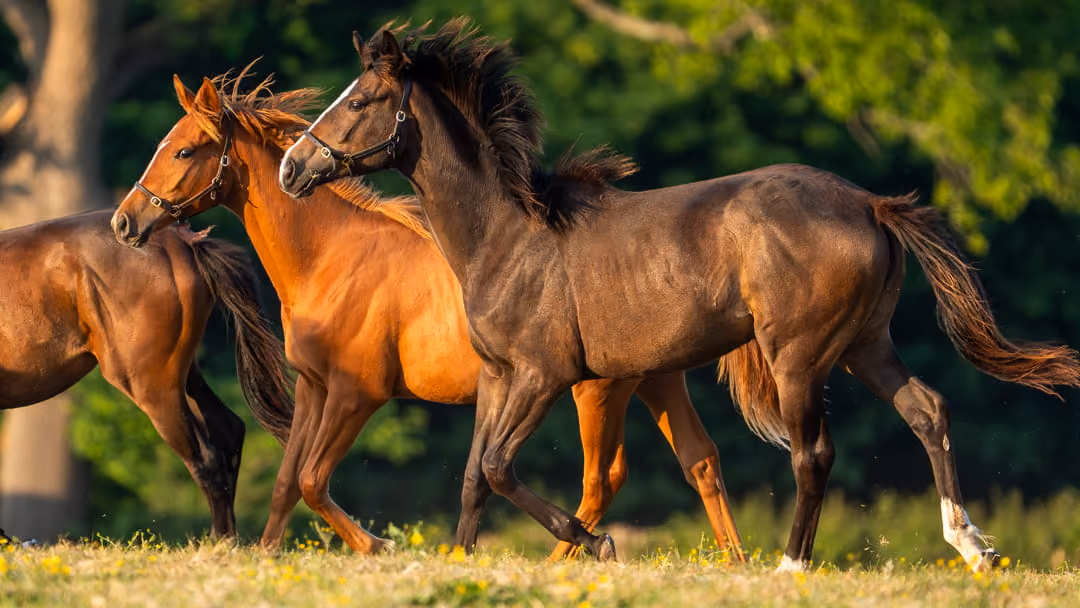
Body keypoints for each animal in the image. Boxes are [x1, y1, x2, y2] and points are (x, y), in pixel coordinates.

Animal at [0, 209, 293, 541]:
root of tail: (182, 242)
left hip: (151, 386)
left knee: (207, 461)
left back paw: (219, 542)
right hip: (184, 376)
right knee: (228, 429)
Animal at [109, 71, 746, 560]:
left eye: (184, 150)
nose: (125, 221)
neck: (332, 257)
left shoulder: (357, 393)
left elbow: (314, 481)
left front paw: (379, 547)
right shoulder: (315, 387)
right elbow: (288, 484)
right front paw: (266, 558)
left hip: (597, 390)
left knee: (602, 480)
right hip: (654, 380)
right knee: (701, 461)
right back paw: (731, 562)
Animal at [277, 19, 1080, 572]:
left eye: (363, 99)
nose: (292, 167)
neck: (509, 237)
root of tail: (869, 204)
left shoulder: (543, 376)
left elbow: (503, 468)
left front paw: (594, 542)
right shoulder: (500, 377)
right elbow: (477, 477)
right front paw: (463, 561)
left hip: (799, 357)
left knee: (813, 454)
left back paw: (791, 564)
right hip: (863, 344)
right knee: (926, 410)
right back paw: (973, 546)